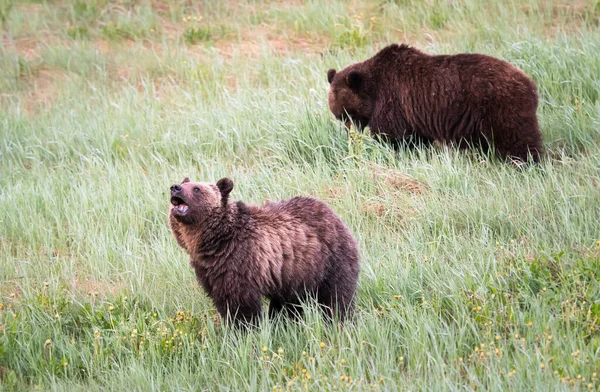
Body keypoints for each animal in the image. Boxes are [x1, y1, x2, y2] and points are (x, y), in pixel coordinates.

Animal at [168, 176, 360, 326]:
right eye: (186, 183)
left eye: (197, 188)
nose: (175, 187)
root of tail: (334, 214)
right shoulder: (209, 270)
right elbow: (222, 301)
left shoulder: (241, 260)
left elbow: (240, 304)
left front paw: (243, 331)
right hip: (292, 275)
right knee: (288, 305)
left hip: (330, 260)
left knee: (336, 296)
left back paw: (339, 320)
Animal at [328, 44, 544, 162]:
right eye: (340, 117)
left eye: (348, 115)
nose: (350, 135)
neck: (374, 92)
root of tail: (531, 85)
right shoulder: (413, 114)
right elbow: (416, 139)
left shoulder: (393, 100)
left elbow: (392, 135)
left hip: (501, 107)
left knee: (518, 139)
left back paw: (526, 163)